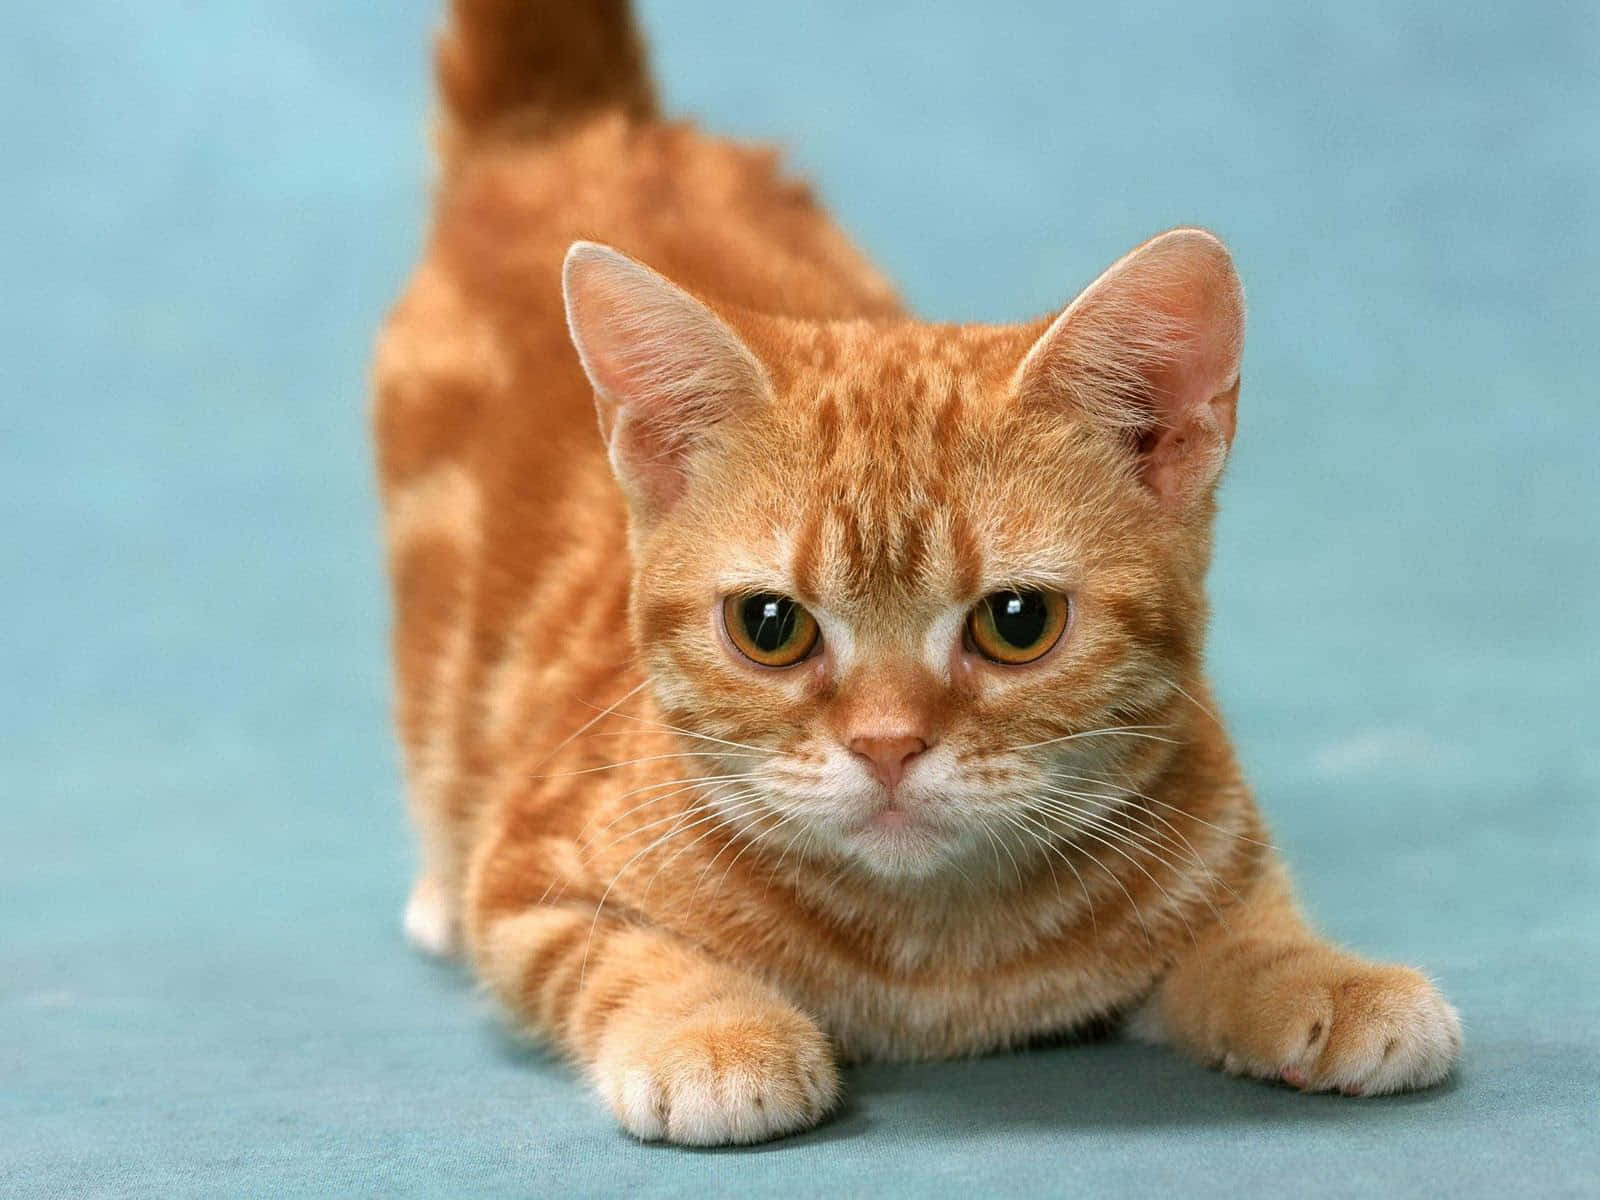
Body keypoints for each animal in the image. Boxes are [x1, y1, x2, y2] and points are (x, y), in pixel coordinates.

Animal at [374, 0, 1465, 1145]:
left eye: (1017, 621)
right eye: (770, 626)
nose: (887, 745)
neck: (935, 959)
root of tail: (586, 129)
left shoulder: (1212, 831)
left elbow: (1245, 920)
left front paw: (1323, 978)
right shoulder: (529, 872)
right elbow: (620, 955)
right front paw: (712, 1031)